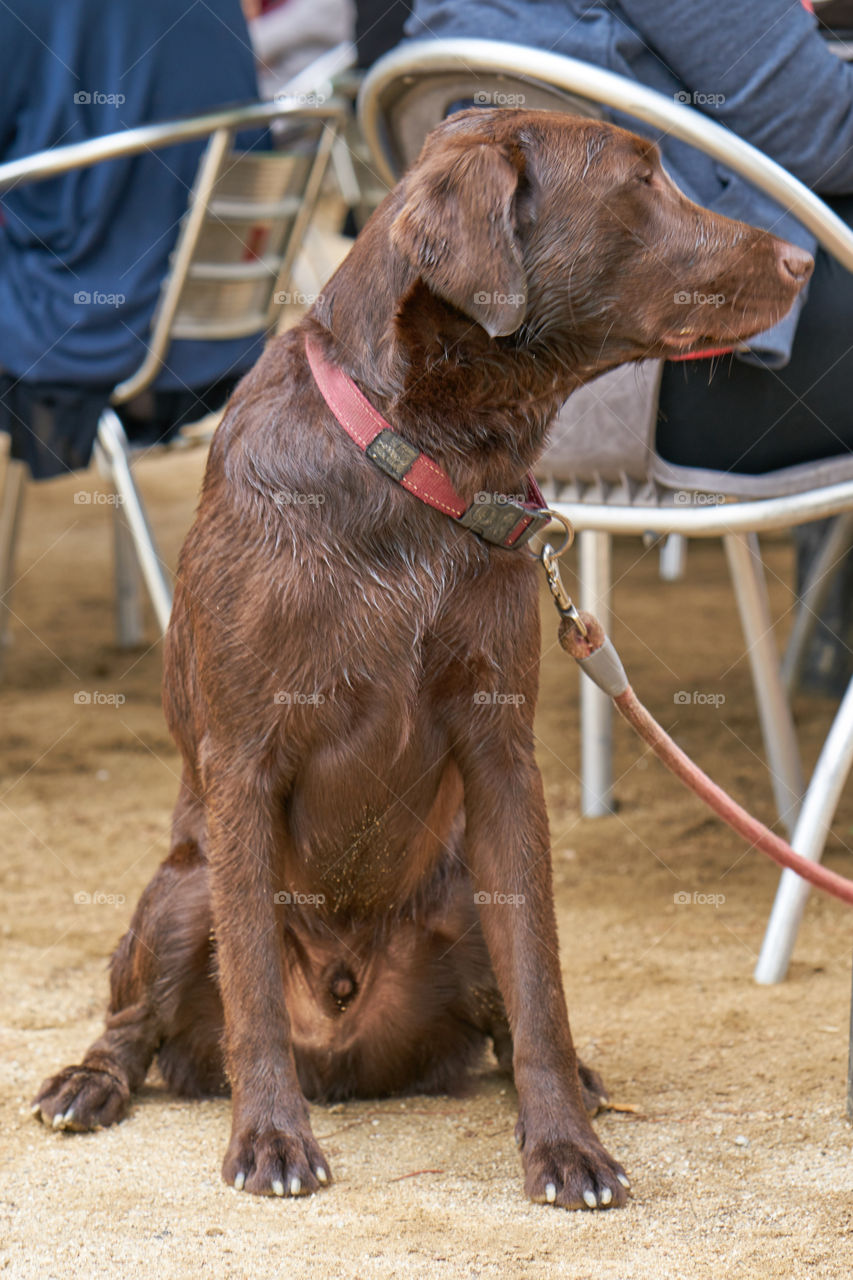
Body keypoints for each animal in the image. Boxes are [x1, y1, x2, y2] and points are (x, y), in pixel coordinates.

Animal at [29, 110, 809, 1208]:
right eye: (640, 180)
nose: (804, 259)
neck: (422, 456)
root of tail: (345, 1047)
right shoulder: (241, 759)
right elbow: (252, 984)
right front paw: (269, 1136)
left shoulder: (502, 758)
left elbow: (540, 986)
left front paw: (565, 1143)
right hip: (181, 889)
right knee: (136, 1018)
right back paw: (89, 1083)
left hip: (462, 895)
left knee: (502, 1010)